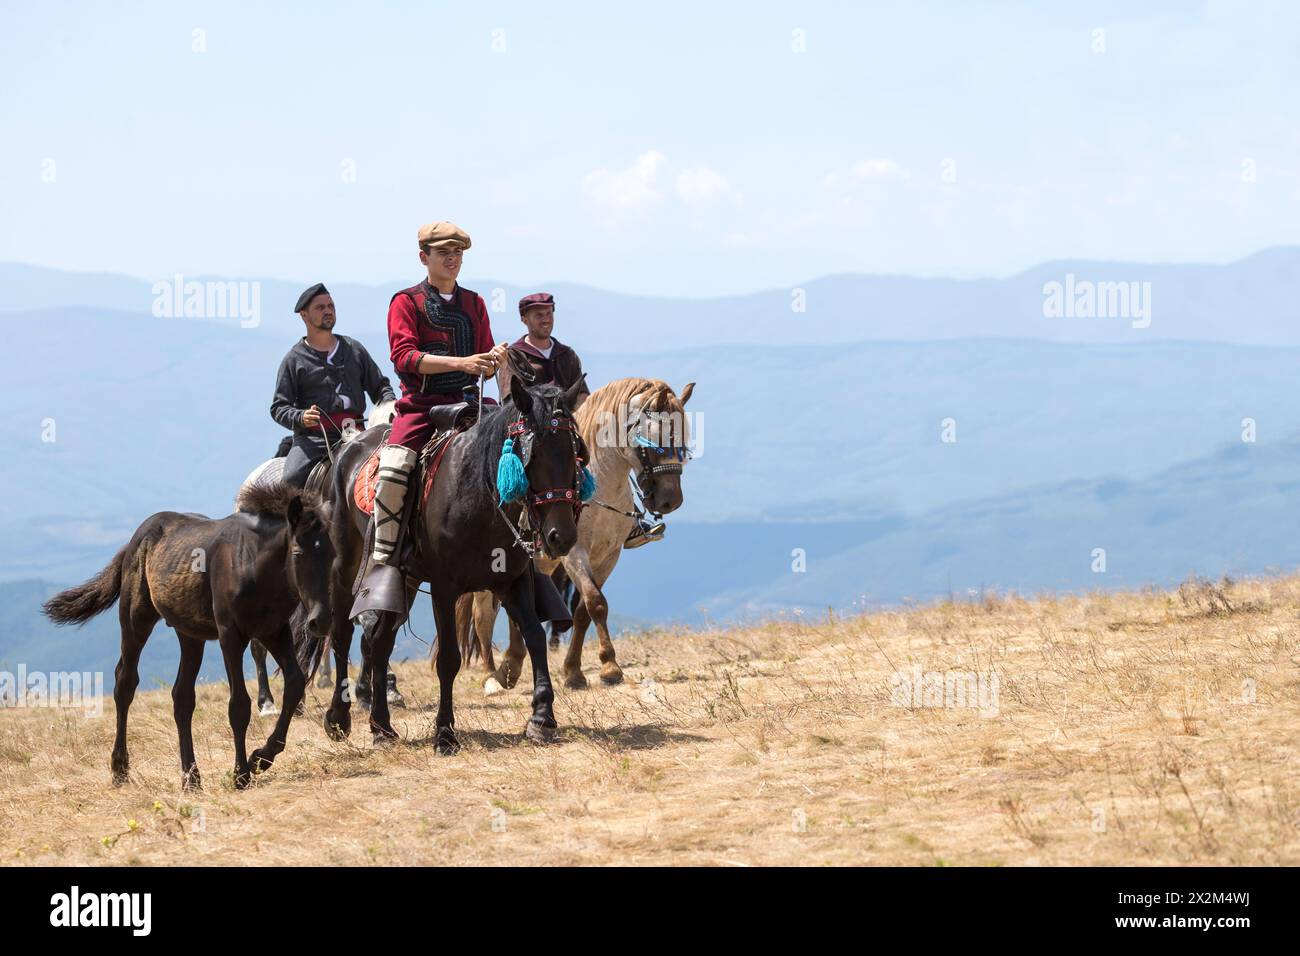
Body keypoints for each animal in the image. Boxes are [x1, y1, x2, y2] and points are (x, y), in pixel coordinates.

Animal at [44, 489, 335, 790]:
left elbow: (295, 682)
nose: (321, 620)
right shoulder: (230, 635)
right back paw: (120, 769)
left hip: (190, 635)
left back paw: (191, 778)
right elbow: (239, 705)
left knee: (181, 696)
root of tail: (135, 541)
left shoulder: (275, 631)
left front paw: (260, 758)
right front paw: (241, 773)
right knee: (125, 682)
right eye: (298, 553)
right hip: (136, 620)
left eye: (332, 553)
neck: (253, 564)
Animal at [299, 377, 585, 749]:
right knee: (343, 633)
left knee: (379, 642)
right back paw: (338, 717)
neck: (477, 492)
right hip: (346, 565)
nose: (561, 536)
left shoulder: (513, 580)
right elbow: (449, 658)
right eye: (531, 454)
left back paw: (381, 726)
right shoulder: (444, 589)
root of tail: (344, 450)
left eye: (573, 450)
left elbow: (535, 636)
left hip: (403, 581)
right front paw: (445, 732)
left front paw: (542, 718)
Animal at [460, 377, 696, 691]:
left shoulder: (608, 556)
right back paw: (491, 677)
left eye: (683, 437)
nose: (671, 499)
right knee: (482, 615)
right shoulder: (573, 553)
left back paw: (512, 664)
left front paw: (576, 670)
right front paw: (610, 667)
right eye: (654, 439)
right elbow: (596, 601)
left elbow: (585, 609)